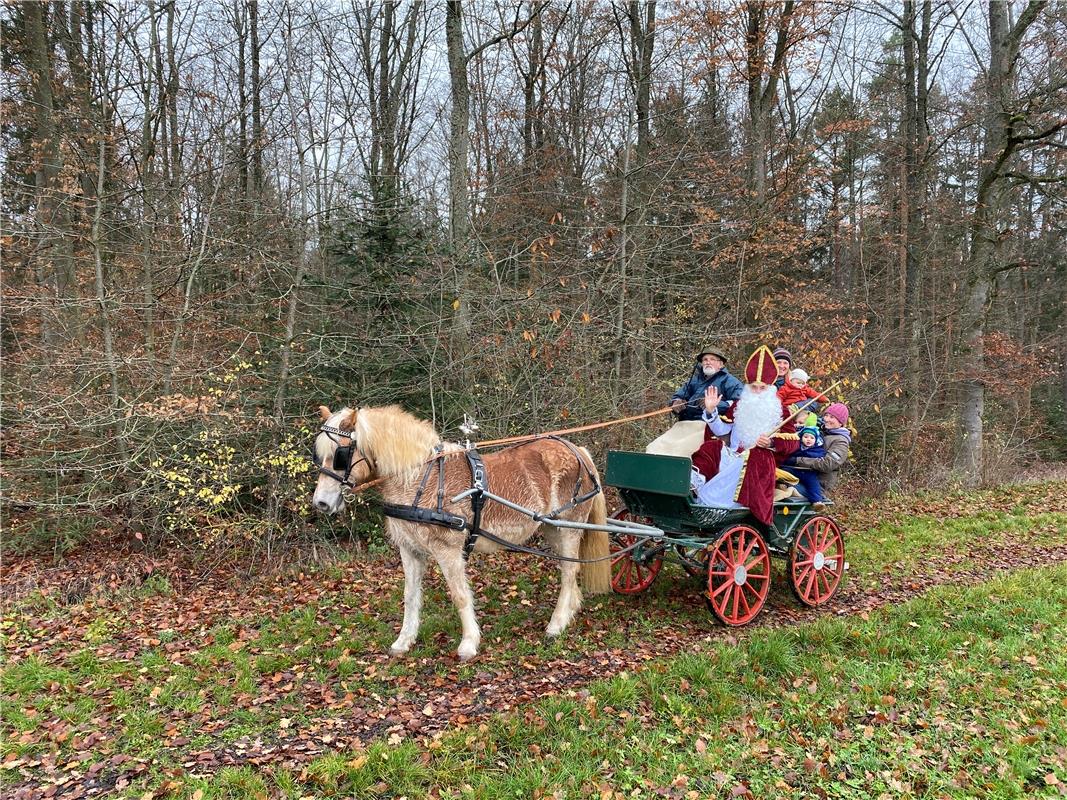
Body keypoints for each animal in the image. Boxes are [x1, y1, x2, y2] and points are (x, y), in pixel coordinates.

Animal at [311, 407, 610, 665]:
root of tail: (577, 450)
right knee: (569, 570)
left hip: (570, 528)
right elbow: (410, 595)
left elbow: (460, 595)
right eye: (319, 455)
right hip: (551, 528)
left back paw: (556, 624)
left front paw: (468, 644)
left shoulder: (448, 550)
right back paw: (570, 611)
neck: (420, 478)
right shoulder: (409, 549)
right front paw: (404, 641)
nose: (321, 503)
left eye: (341, 454)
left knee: (569, 573)